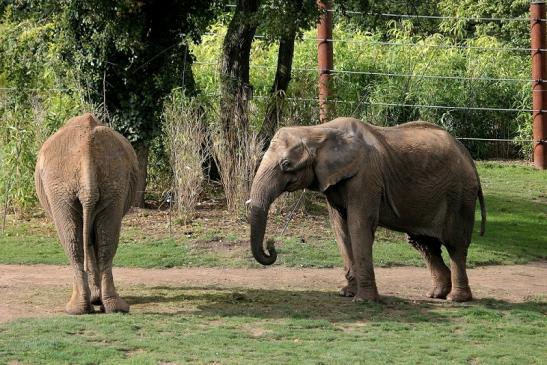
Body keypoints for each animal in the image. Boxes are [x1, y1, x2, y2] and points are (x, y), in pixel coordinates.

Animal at [34, 114, 138, 312]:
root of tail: (85, 146)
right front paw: (96, 300)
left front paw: (95, 299)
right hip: (111, 177)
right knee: (102, 239)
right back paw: (109, 308)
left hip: (60, 182)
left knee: (74, 240)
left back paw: (79, 309)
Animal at [249, 116, 488, 302]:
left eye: (286, 165)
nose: (271, 244)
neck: (318, 130)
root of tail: (469, 157)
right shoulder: (334, 181)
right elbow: (341, 229)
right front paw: (346, 293)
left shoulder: (366, 177)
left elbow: (358, 226)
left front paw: (363, 300)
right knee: (423, 243)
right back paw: (436, 294)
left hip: (459, 196)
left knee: (455, 243)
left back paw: (456, 298)